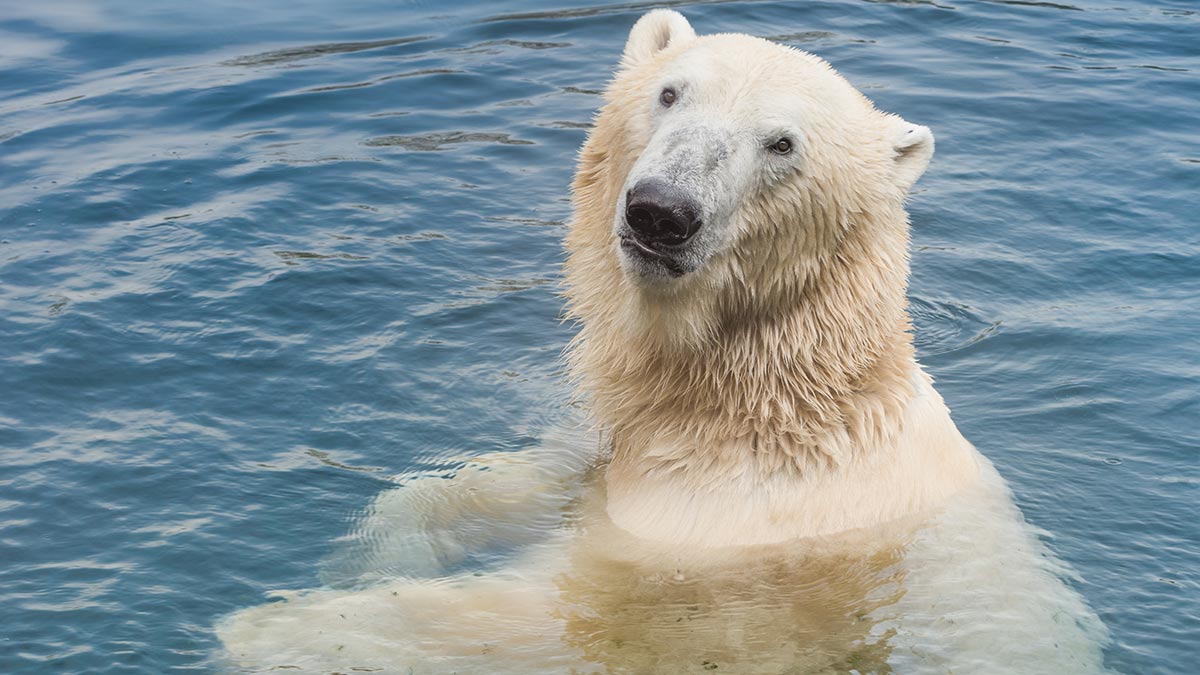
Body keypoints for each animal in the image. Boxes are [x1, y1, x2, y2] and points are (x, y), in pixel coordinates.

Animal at [218, 11, 1104, 672]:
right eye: (670, 92)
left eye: (783, 143)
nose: (661, 210)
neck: (755, 402)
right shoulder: (614, 441)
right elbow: (510, 477)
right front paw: (371, 549)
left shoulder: (721, 540)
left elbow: (547, 605)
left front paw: (273, 628)